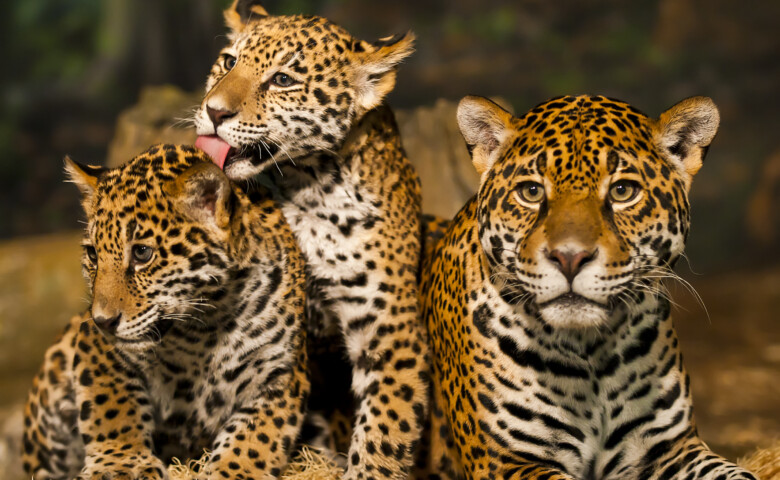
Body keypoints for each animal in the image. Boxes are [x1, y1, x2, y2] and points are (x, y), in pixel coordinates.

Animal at [22, 144, 309, 480]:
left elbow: (257, 436)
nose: (104, 322)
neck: (207, 325)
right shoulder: (95, 347)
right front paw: (121, 464)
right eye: (93, 254)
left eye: (142, 253)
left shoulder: (282, 372)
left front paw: (234, 469)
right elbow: (112, 406)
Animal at [193, 2, 429, 479]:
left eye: (283, 80)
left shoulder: (390, 330)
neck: (305, 186)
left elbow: (385, 430)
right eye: (228, 62)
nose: (214, 112)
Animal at [416, 94, 759, 480]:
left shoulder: (671, 448)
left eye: (623, 191)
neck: (591, 354)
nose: (569, 258)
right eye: (531, 192)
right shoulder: (505, 461)